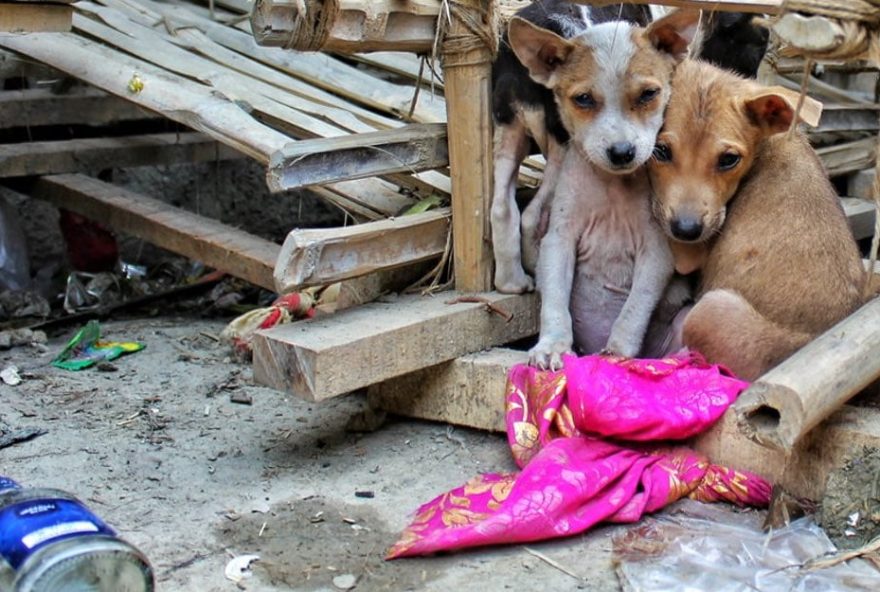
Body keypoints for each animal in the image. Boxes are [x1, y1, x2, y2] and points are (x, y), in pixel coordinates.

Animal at [648, 60, 868, 382]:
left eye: (728, 159)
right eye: (660, 151)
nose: (687, 230)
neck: (769, 142)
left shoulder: (689, 251)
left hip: (710, 309)